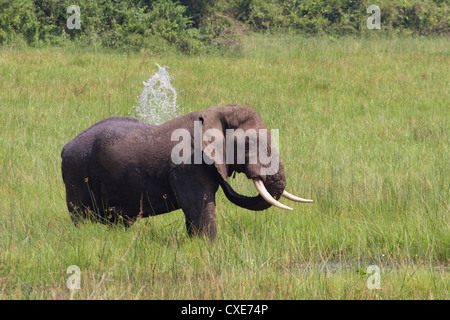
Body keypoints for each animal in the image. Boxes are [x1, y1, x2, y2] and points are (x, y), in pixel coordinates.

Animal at [60, 104, 312, 239]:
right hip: (76, 173)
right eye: (250, 142)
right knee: (81, 216)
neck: (213, 114)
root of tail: (65, 146)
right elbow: (199, 208)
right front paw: (209, 249)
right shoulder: (186, 165)